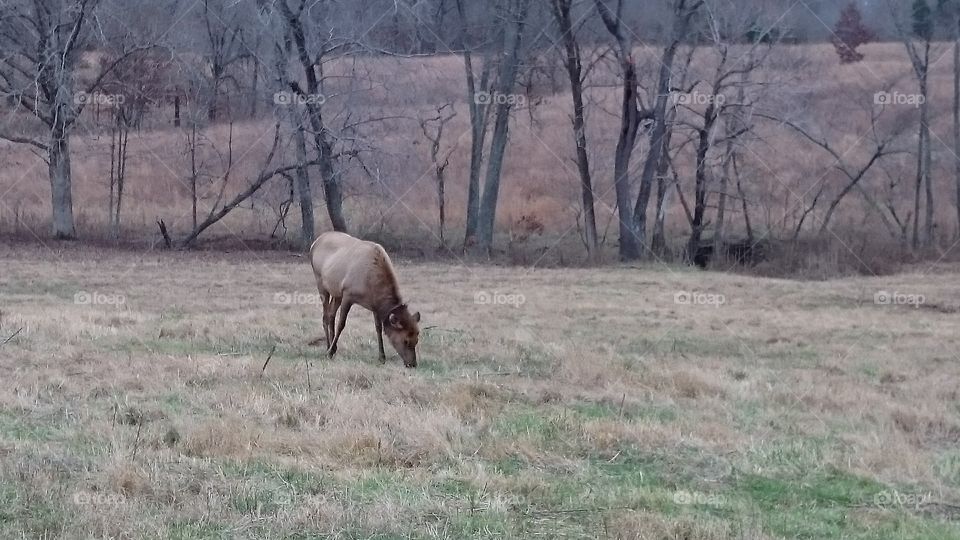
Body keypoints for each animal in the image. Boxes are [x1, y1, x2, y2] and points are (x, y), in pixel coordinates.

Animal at [309, 232, 421, 368]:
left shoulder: (374, 305)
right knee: (325, 316)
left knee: (331, 314)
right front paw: (330, 353)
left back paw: (332, 347)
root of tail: (314, 243)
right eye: (405, 340)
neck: (372, 285)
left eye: (416, 339)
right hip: (320, 282)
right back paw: (328, 348)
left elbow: (378, 328)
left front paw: (382, 357)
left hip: (336, 292)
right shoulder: (348, 294)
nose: (412, 364)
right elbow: (342, 324)